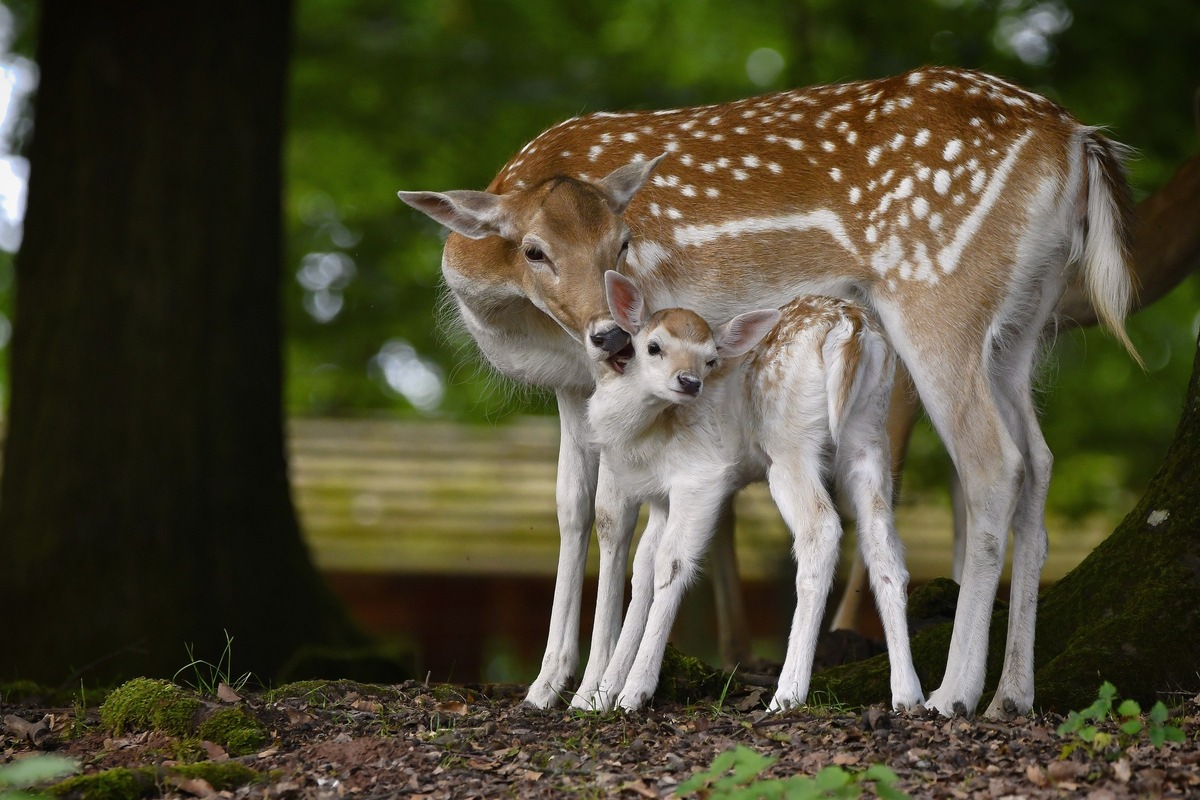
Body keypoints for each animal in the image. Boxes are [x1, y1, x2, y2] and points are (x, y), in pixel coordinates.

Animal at [398, 65, 1137, 719]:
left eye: (625, 241)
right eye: (533, 249)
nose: (610, 334)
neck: (510, 314)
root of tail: (1077, 139)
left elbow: (616, 518)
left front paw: (592, 690)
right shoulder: (573, 386)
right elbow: (577, 512)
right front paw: (547, 685)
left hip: (940, 296)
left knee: (992, 464)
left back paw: (951, 693)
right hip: (1021, 324)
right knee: (1039, 460)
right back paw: (1012, 694)